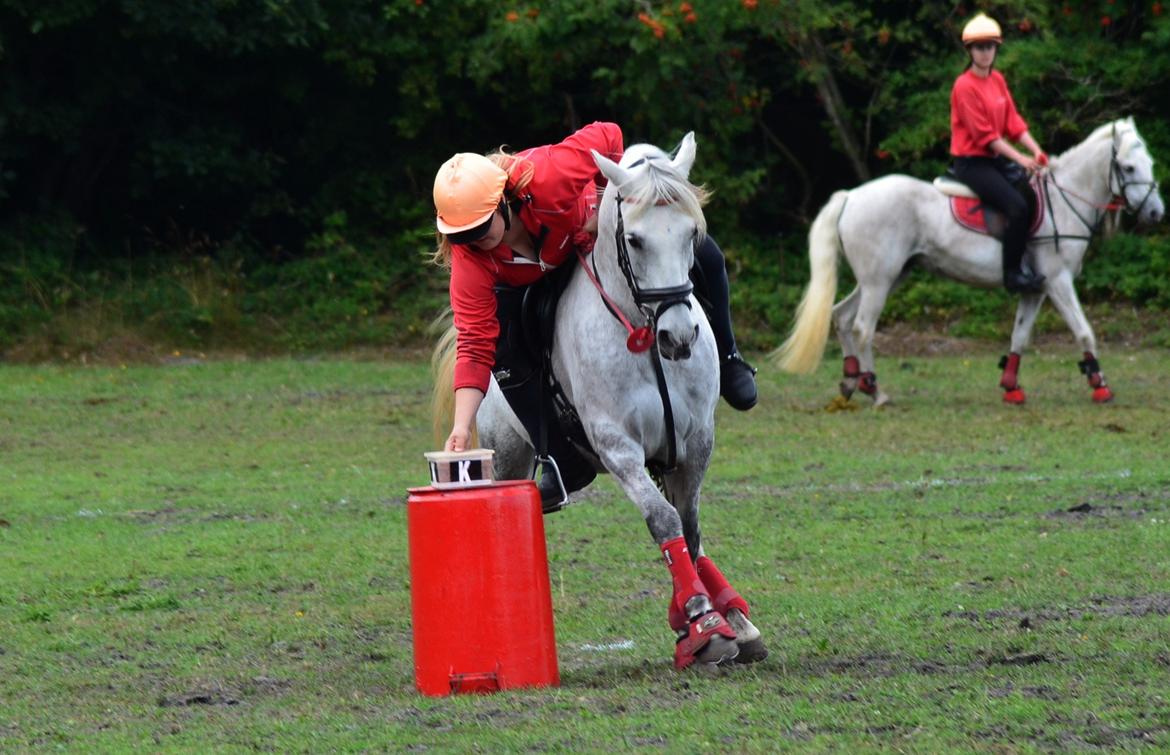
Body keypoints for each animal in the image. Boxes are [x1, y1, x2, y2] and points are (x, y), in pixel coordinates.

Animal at [432, 132, 767, 669]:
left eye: (692, 234)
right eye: (635, 240)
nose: (679, 337)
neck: (643, 336)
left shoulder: (696, 442)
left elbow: (689, 526)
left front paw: (705, 618)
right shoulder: (618, 445)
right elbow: (664, 519)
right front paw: (701, 620)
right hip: (508, 451)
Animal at [772, 117, 1165, 402]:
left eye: (1149, 163)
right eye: (1128, 168)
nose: (1156, 213)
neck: (1065, 200)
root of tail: (851, 196)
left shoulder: (1035, 289)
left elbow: (1019, 335)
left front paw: (1011, 386)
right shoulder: (1058, 282)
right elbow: (1084, 331)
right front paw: (1099, 384)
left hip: (886, 277)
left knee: (841, 317)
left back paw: (852, 382)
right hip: (879, 280)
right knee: (862, 327)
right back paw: (876, 390)